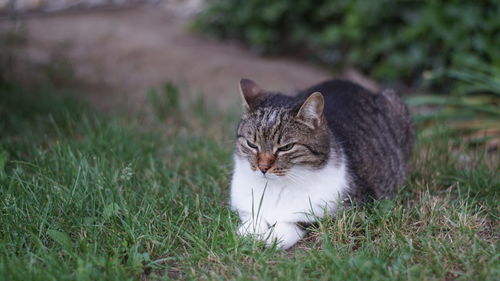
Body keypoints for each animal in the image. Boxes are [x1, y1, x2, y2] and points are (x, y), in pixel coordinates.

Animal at [230, 77, 414, 248]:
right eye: (252, 144)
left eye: (286, 147)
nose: (263, 167)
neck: (275, 188)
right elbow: (252, 216)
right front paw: (249, 232)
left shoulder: (356, 204)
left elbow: (298, 221)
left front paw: (273, 237)